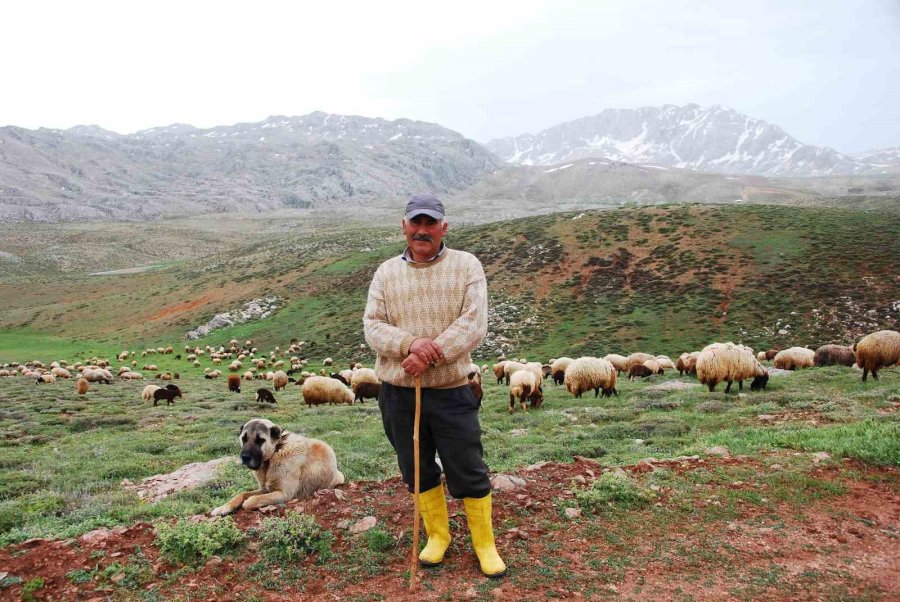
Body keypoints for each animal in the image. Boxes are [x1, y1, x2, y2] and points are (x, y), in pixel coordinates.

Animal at [209, 418, 346, 516]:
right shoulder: (264, 489)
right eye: (244, 438)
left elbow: (254, 500)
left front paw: (248, 502)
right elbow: (241, 494)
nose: (245, 457)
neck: (275, 452)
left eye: (260, 440)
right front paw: (222, 508)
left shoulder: (284, 494)